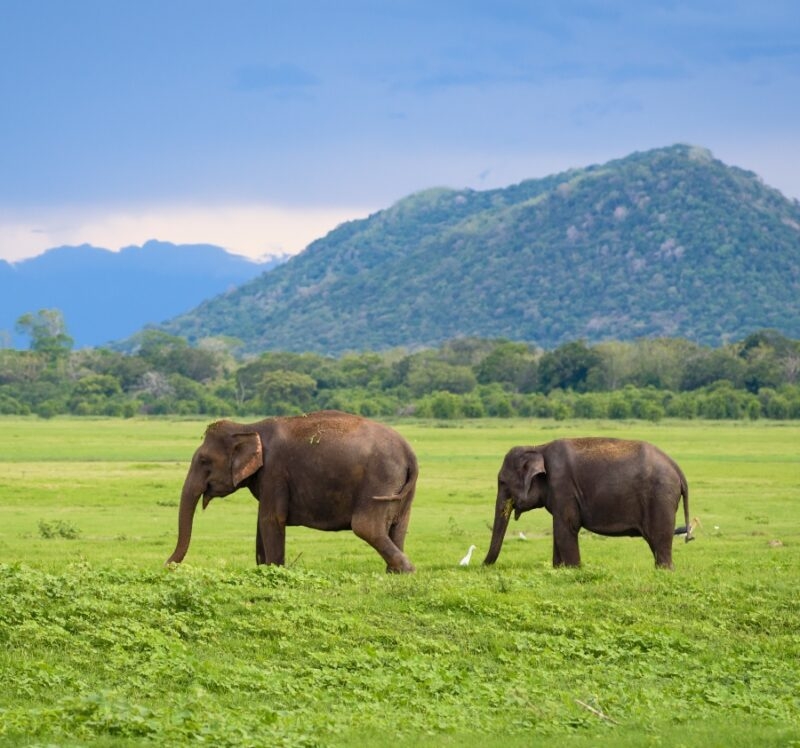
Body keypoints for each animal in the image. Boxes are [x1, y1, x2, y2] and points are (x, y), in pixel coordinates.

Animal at [166, 410, 418, 572]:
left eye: (204, 461)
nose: (167, 567)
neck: (249, 428)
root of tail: (409, 452)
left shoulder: (274, 471)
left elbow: (270, 519)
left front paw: (275, 570)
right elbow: (261, 522)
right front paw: (262, 569)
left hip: (380, 479)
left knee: (367, 527)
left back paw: (407, 570)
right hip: (403, 489)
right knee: (399, 526)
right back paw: (394, 573)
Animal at [483, 438, 692, 569]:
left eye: (502, 482)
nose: (482, 566)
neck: (538, 447)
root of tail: (677, 469)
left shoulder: (563, 486)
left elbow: (566, 527)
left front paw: (573, 570)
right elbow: (559, 531)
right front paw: (559, 570)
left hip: (660, 498)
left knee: (659, 540)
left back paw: (664, 571)